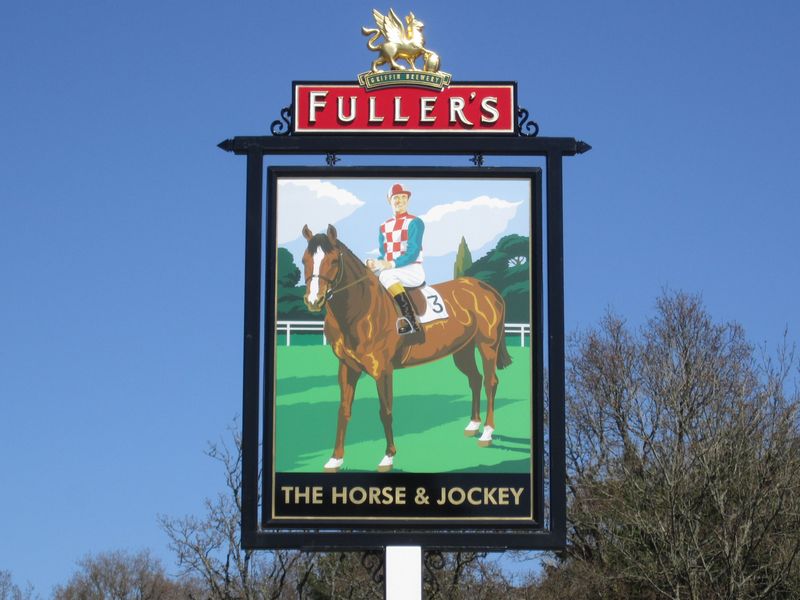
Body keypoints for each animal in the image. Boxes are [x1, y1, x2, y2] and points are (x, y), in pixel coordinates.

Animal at [300, 225, 512, 474]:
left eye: (333, 261)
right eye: (304, 260)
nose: (314, 300)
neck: (361, 311)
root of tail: (488, 290)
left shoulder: (382, 371)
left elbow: (385, 411)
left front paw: (388, 457)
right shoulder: (347, 367)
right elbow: (344, 410)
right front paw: (335, 459)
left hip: (487, 345)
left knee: (490, 382)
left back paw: (487, 432)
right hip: (463, 350)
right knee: (475, 379)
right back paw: (473, 425)